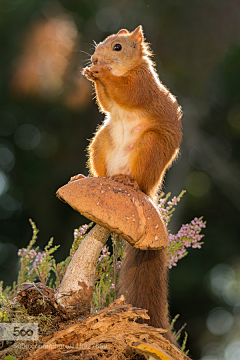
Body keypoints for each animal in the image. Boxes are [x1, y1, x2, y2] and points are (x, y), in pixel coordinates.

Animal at [82, 26, 182, 344]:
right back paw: (91, 179)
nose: (94, 58)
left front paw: (101, 72)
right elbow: (106, 103)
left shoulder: (142, 85)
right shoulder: (110, 106)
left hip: (150, 147)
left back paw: (128, 181)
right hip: (100, 140)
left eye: (117, 47)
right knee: (102, 166)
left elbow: (126, 92)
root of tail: (150, 189)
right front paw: (90, 73)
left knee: (137, 180)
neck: (129, 68)